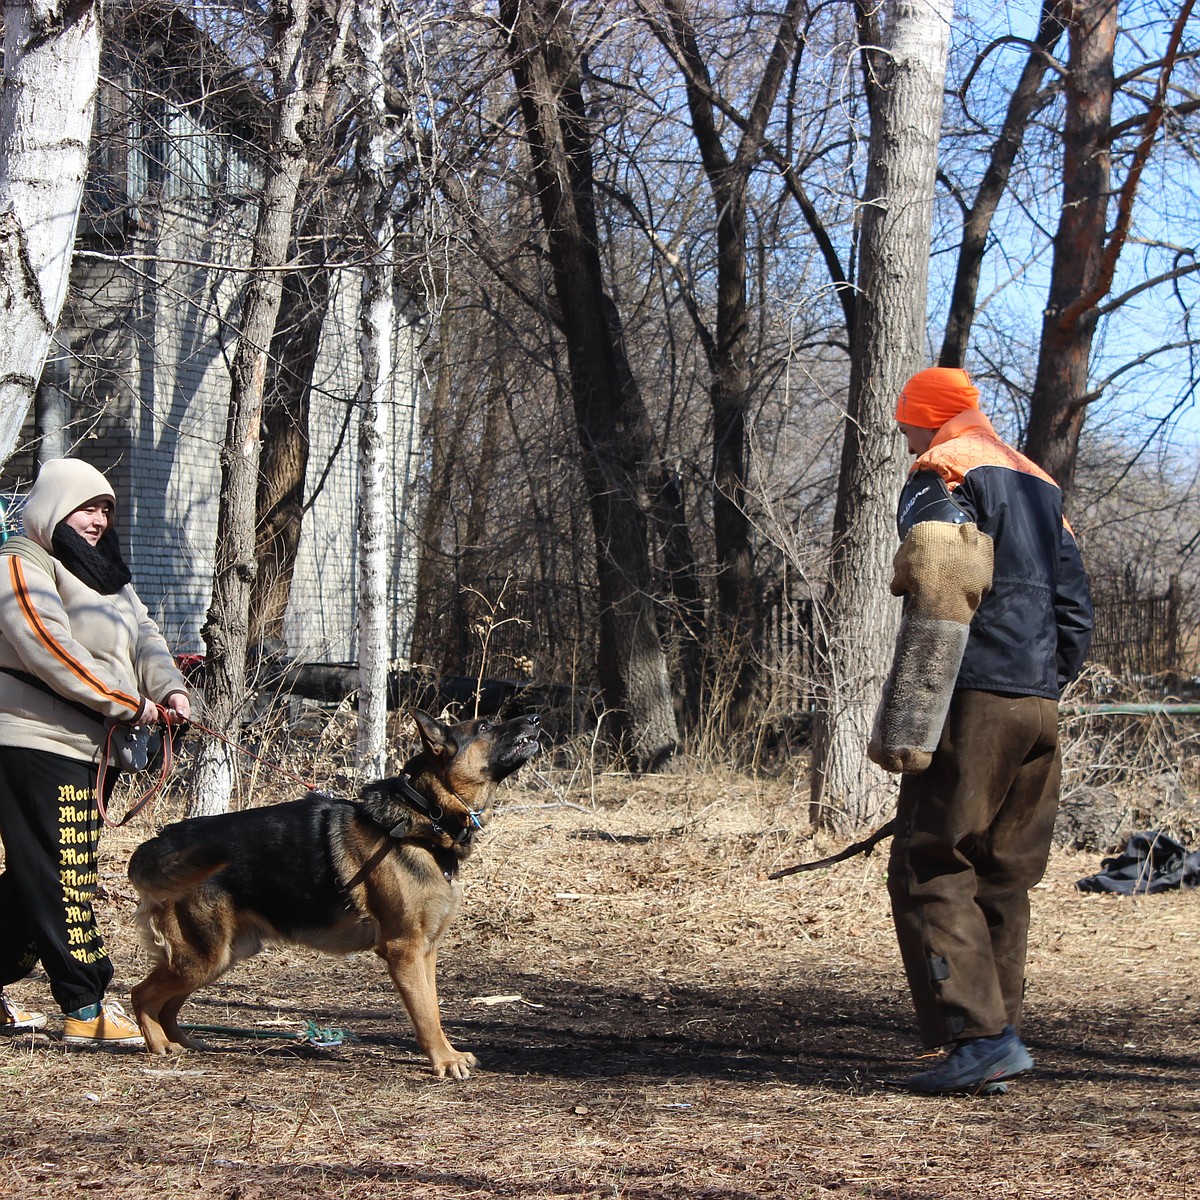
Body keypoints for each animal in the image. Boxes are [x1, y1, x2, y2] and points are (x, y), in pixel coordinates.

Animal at [126, 705, 540, 1084]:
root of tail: (160, 842)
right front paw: (443, 1060)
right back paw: (159, 1045)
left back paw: (182, 1041)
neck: (426, 812)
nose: (535, 718)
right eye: (484, 726)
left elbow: (434, 1008)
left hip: (218, 957)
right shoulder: (405, 950)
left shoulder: (426, 950)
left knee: (167, 1003)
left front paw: (447, 1054)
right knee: (141, 994)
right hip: (202, 957)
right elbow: (424, 1012)